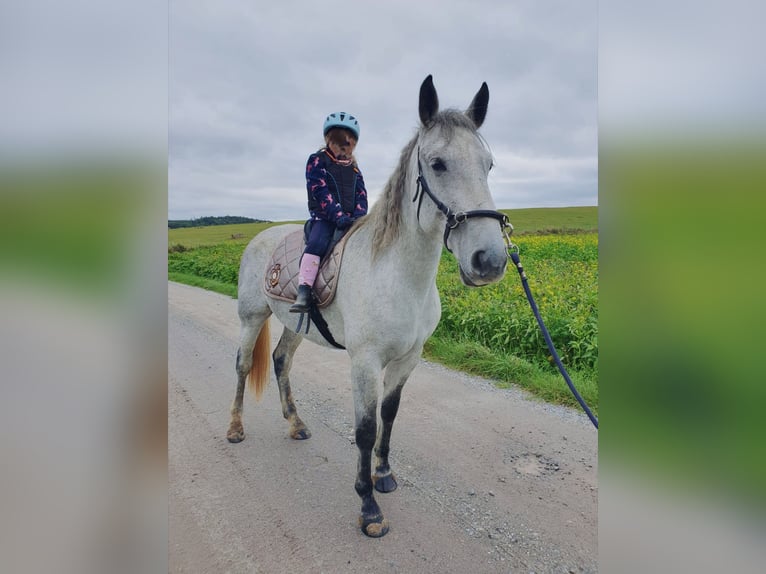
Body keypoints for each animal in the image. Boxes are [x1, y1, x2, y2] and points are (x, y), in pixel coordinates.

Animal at [228, 75, 516, 540]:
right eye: (437, 163)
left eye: (488, 165)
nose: (489, 260)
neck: (399, 275)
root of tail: (260, 237)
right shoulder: (364, 362)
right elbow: (364, 429)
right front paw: (368, 507)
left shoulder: (408, 358)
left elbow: (389, 415)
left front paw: (383, 475)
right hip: (251, 317)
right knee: (241, 365)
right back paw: (235, 428)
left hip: (293, 325)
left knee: (280, 360)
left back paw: (296, 424)